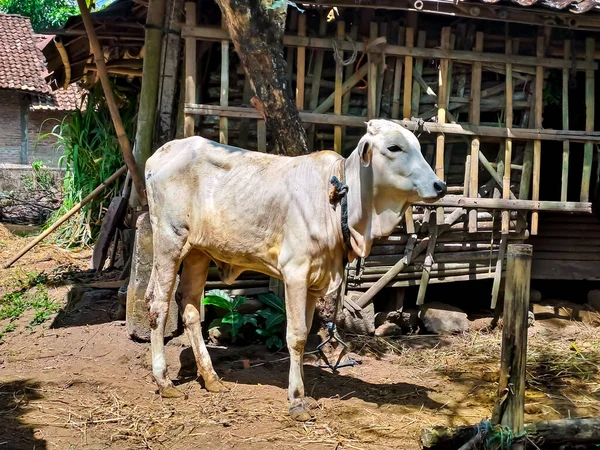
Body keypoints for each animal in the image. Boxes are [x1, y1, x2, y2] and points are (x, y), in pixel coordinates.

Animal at [144, 120, 446, 422]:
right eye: (394, 147)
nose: (440, 185)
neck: (338, 202)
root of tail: (161, 153)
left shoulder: (315, 280)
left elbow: (306, 331)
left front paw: (301, 388)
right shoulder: (295, 273)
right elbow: (297, 335)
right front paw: (297, 399)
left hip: (198, 252)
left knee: (190, 308)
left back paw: (211, 378)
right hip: (169, 241)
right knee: (158, 306)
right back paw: (164, 382)